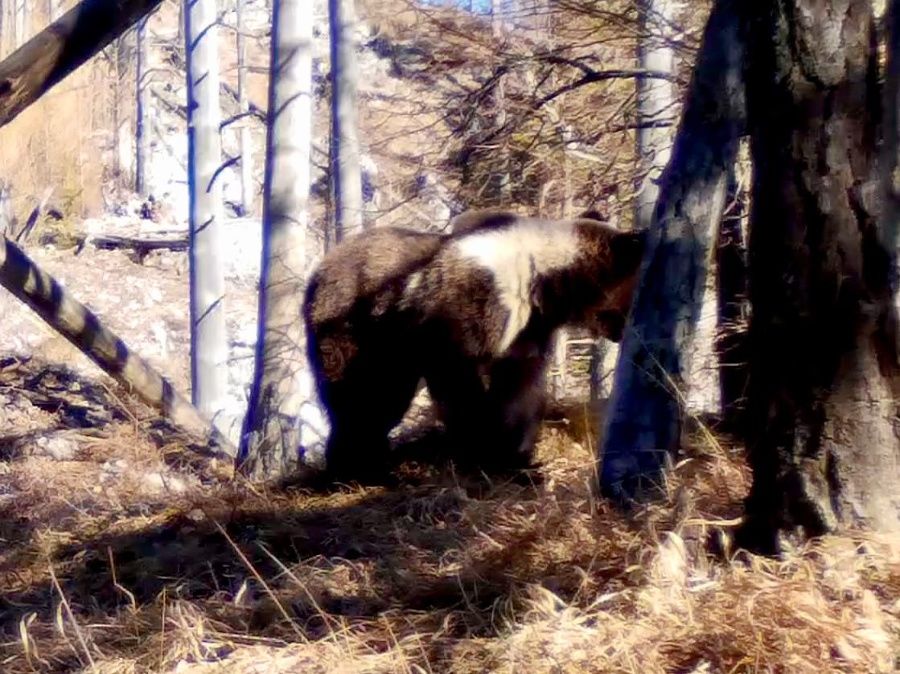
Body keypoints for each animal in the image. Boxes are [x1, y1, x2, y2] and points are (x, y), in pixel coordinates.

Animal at [306, 213, 644, 480]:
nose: (625, 332)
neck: (542, 283)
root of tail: (320, 268)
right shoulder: (466, 310)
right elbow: (460, 383)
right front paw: (481, 450)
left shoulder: (527, 333)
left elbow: (520, 391)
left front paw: (517, 458)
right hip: (359, 332)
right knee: (367, 398)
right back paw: (360, 468)